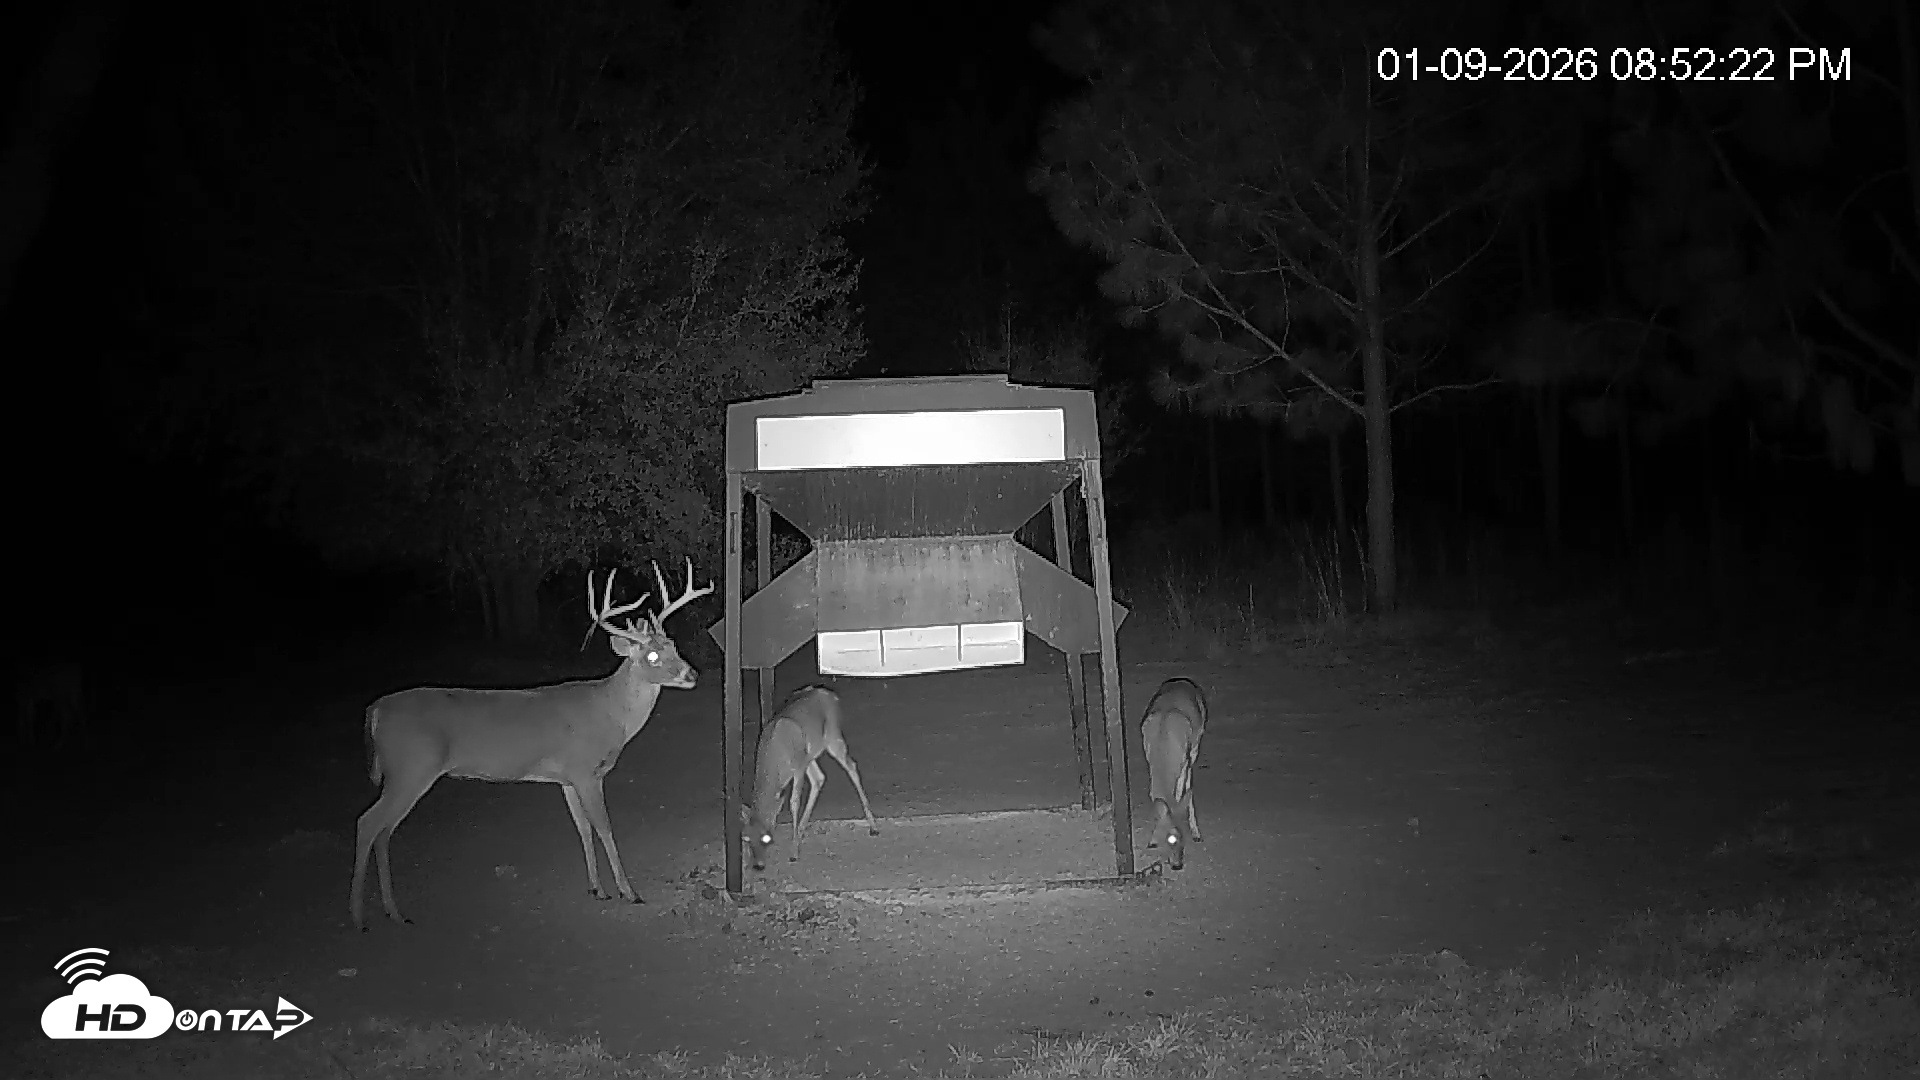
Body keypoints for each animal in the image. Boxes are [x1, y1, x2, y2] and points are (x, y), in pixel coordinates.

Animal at [349, 559, 712, 930]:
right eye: (652, 656)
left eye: (673, 646)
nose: (691, 675)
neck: (610, 713)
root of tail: (375, 710)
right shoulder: (585, 770)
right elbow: (604, 827)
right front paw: (629, 891)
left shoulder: (567, 778)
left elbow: (583, 828)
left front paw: (597, 889)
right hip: (410, 767)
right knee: (368, 823)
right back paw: (359, 917)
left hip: (405, 773)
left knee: (383, 830)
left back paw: (393, 912)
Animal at [741, 684, 881, 870]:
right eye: (746, 838)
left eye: (767, 838)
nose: (758, 865)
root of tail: (831, 694)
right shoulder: (803, 760)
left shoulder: (799, 766)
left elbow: (794, 802)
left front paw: (793, 851)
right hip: (812, 753)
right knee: (819, 778)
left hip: (833, 737)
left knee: (850, 765)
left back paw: (873, 826)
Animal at [1140, 677, 1208, 871]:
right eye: (1170, 839)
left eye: (1183, 838)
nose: (1177, 865)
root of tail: (1182, 681)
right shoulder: (1149, 760)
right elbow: (1155, 796)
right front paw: (1152, 839)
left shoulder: (1184, 760)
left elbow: (1180, 792)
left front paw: (1194, 831)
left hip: (1196, 743)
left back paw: (1196, 831)